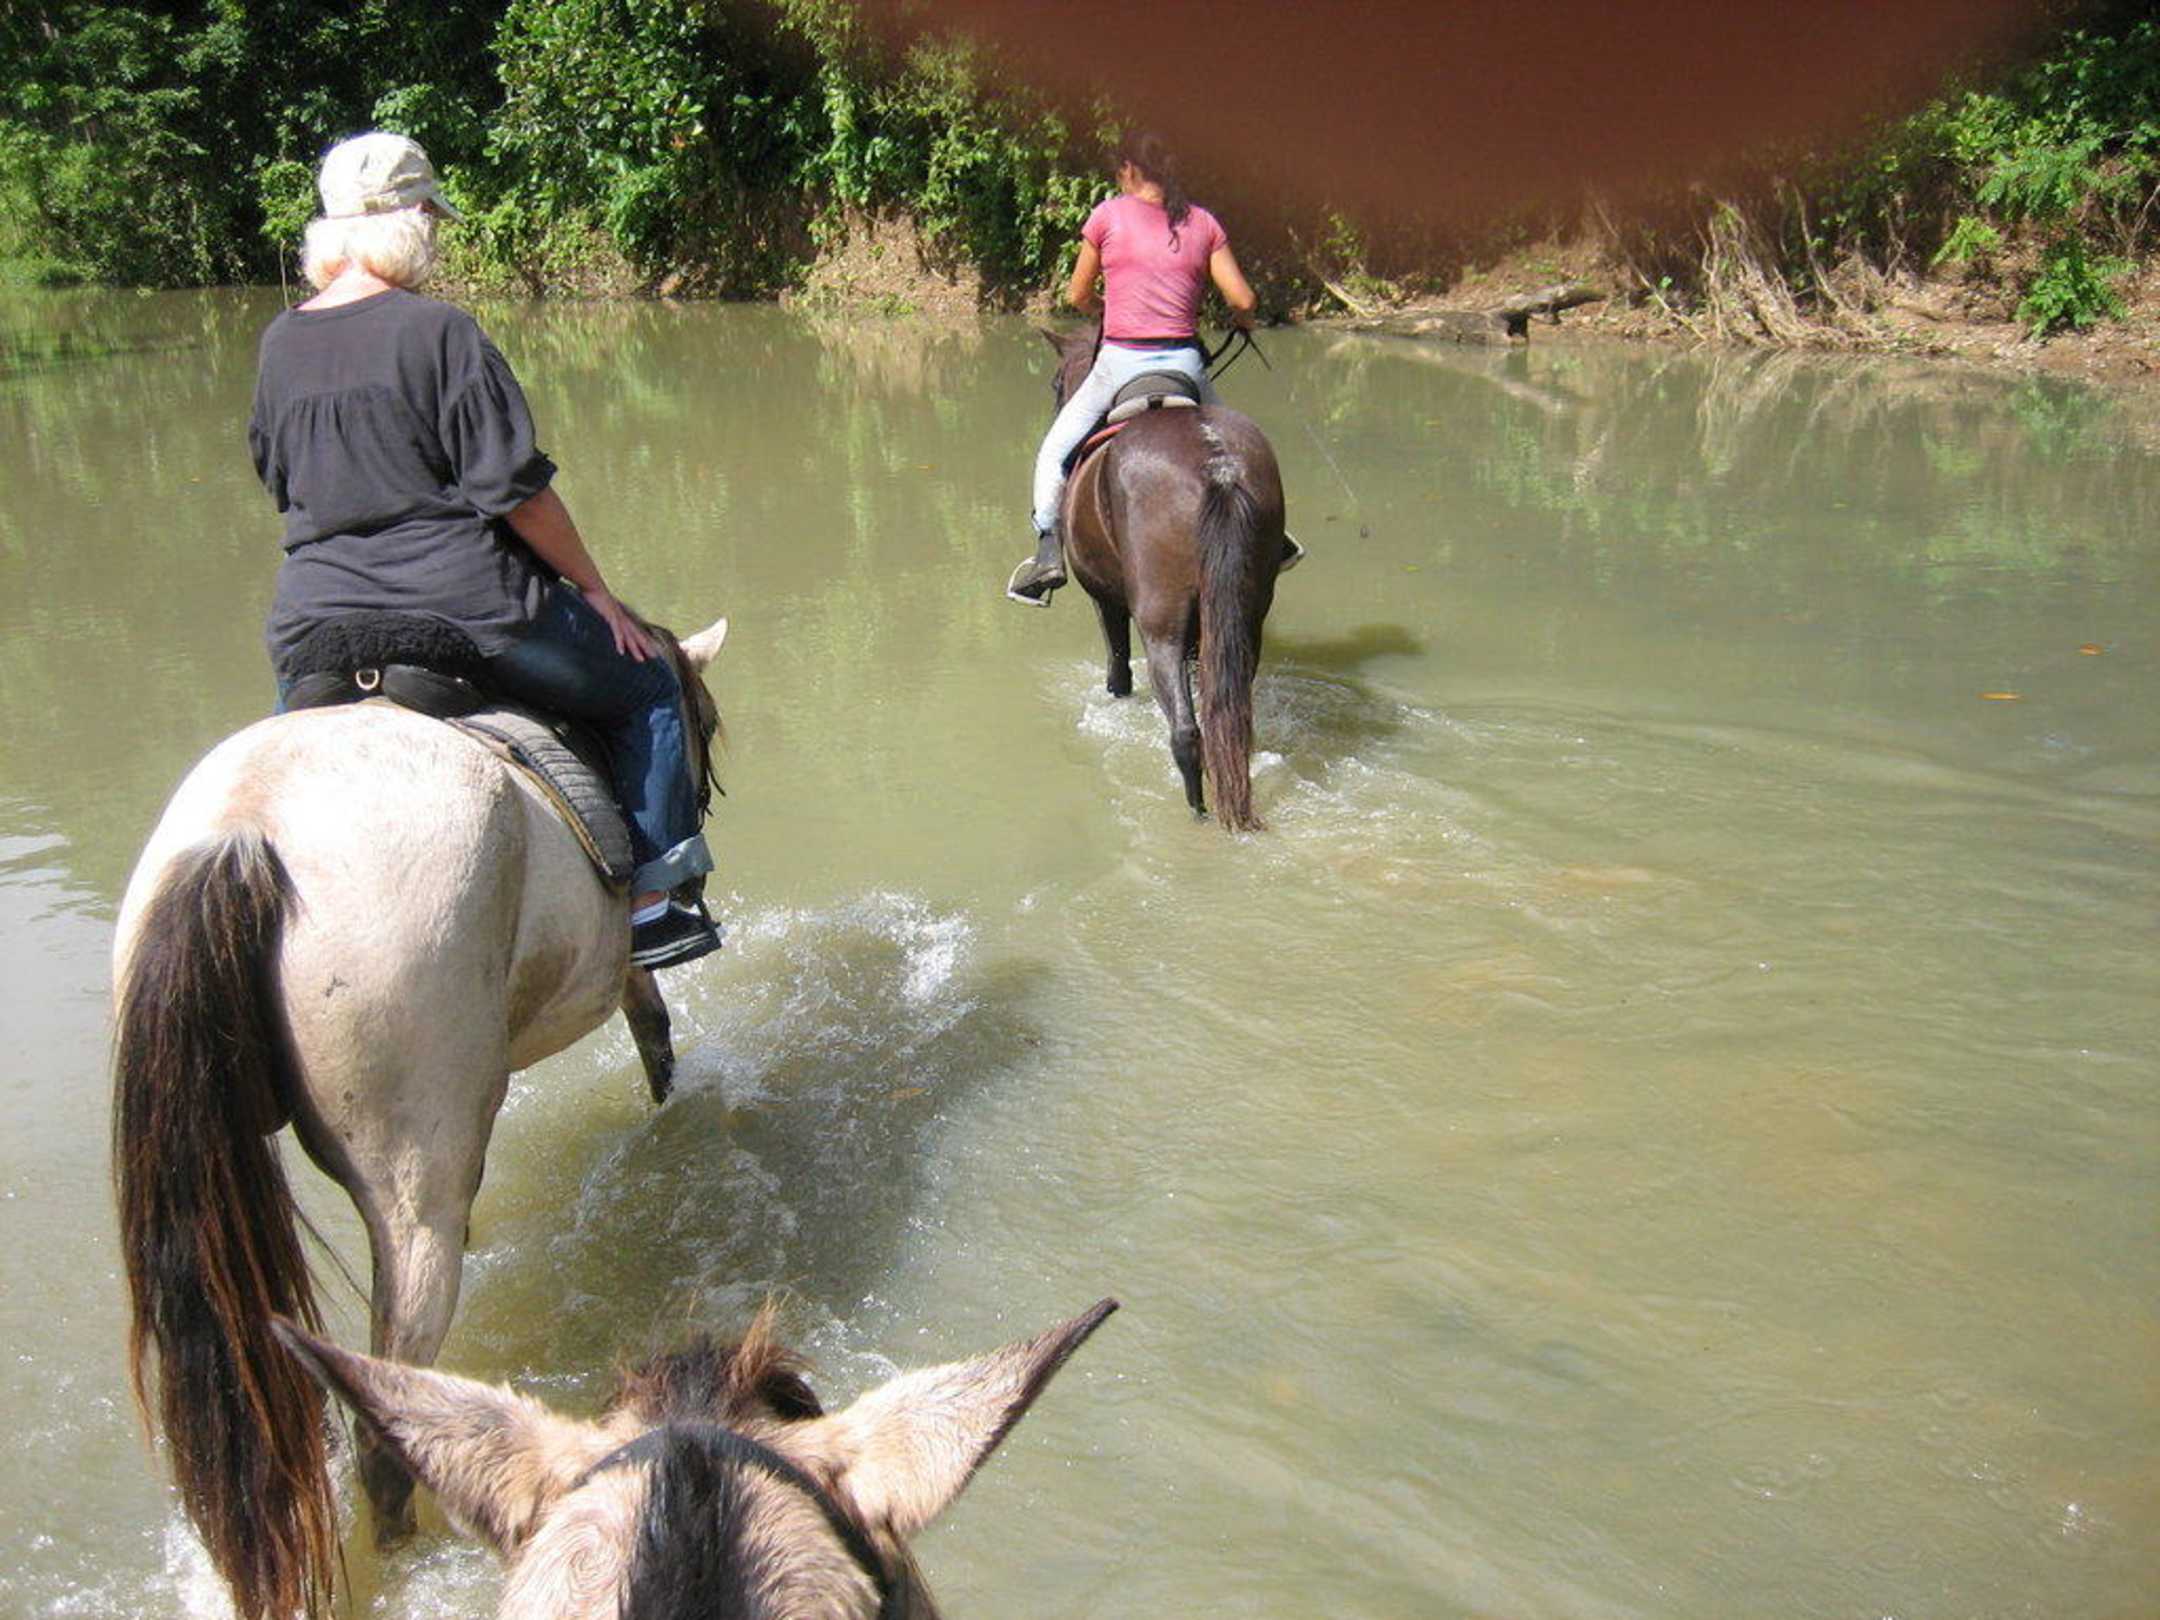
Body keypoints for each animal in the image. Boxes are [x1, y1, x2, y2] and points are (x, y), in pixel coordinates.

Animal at [110, 613, 727, 1620]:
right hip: (412, 1197)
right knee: (383, 1425)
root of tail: (245, 834)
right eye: (701, 719)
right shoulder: (612, 967)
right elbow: (653, 1023)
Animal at [1042, 323, 1287, 830]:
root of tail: (1218, 465)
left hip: (1161, 624)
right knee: (1229, 715)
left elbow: (1118, 669)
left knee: (1186, 732)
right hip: (1246, 615)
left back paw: (1198, 812)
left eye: (1056, 383)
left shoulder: (1105, 599)